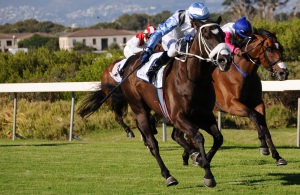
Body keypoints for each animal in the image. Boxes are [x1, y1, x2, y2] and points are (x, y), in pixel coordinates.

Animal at [110, 18, 232, 187]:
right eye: (207, 36)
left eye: (223, 35)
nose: (225, 59)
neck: (194, 79)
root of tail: (129, 64)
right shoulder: (178, 116)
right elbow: (199, 137)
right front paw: (208, 174)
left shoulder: (204, 115)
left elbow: (218, 138)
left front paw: (201, 159)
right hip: (140, 109)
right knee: (153, 144)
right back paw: (168, 175)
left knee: (176, 136)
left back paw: (192, 155)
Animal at [175, 27, 290, 166]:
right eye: (269, 49)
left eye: (281, 48)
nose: (284, 73)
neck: (244, 73)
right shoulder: (231, 105)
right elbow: (253, 115)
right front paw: (263, 147)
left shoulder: (258, 103)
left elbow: (264, 126)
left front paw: (278, 156)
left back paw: (188, 156)